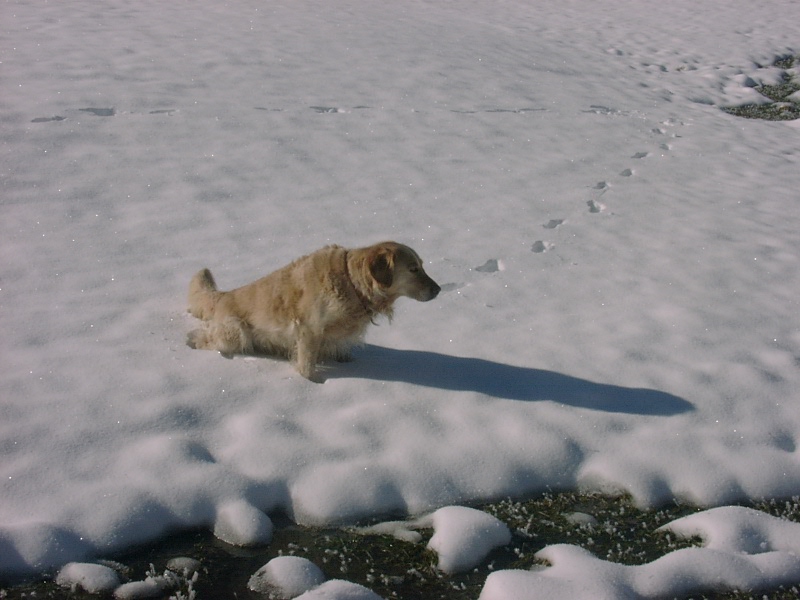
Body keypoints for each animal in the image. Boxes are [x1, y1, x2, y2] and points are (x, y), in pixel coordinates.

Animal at [185, 239, 440, 380]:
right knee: (208, 340)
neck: (351, 284)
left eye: (422, 266)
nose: (438, 289)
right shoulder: (309, 330)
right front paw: (313, 384)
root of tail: (223, 294)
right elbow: (307, 365)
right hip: (236, 333)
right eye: (413, 269)